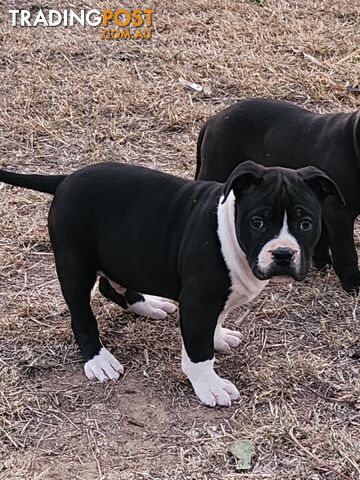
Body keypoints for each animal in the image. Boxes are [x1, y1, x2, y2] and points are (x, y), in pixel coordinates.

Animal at [0, 161, 344, 404]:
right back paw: (98, 360)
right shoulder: (199, 300)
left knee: (111, 287)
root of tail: (65, 179)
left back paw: (148, 305)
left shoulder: (213, 300)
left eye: (306, 223)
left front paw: (219, 336)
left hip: (119, 255)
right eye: (257, 222)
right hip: (75, 263)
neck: (230, 232)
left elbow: (216, 321)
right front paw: (209, 385)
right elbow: (198, 349)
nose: (283, 254)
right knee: (81, 314)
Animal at [197, 98, 360, 292]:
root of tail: (214, 119)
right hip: (216, 168)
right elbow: (347, 252)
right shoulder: (340, 214)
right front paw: (352, 281)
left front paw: (320, 259)